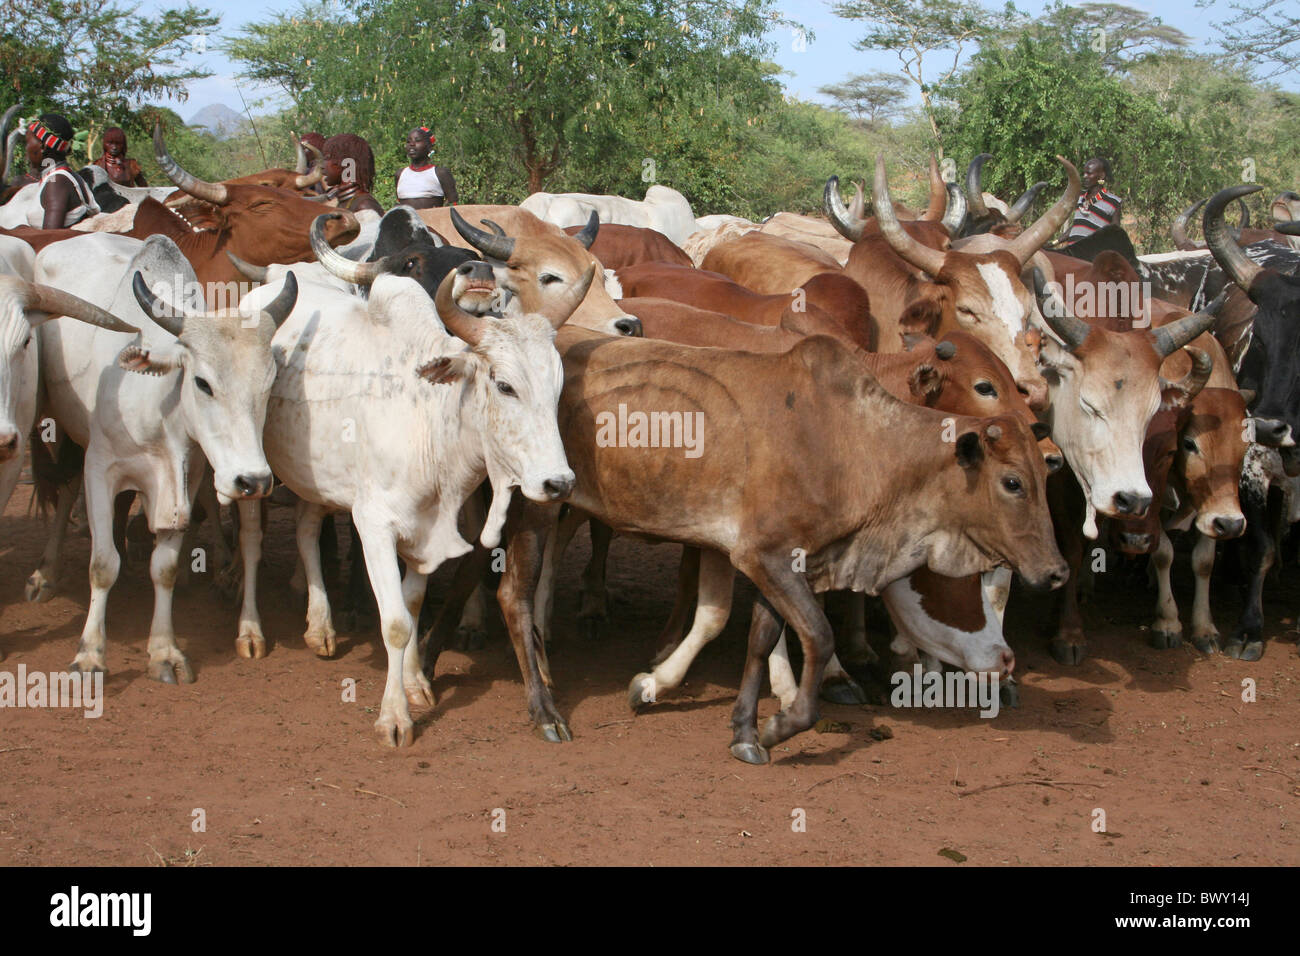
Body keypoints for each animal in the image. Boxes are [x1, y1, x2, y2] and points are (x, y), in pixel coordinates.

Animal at [33, 231, 295, 681]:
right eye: (203, 383)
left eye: (269, 384)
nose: (254, 481)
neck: (157, 405)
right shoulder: (100, 470)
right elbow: (102, 564)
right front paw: (89, 654)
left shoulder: (184, 479)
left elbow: (166, 568)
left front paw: (164, 651)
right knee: (65, 492)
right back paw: (46, 574)